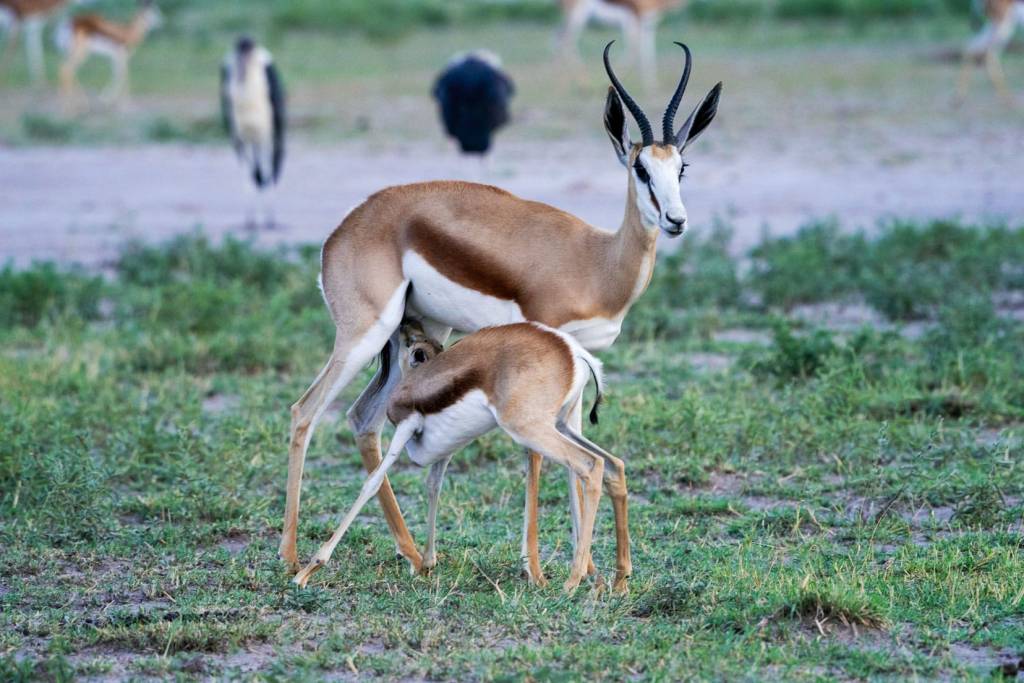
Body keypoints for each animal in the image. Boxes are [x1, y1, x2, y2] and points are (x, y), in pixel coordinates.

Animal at [278, 41, 720, 593]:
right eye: (641, 169)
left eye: (681, 167)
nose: (676, 220)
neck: (596, 262)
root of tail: (340, 232)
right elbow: (536, 457)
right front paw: (539, 568)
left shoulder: (576, 363)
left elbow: (576, 454)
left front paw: (592, 572)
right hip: (362, 335)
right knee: (306, 412)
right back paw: (292, 558)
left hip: (420, 338)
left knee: (363, 420)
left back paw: (413, 554)